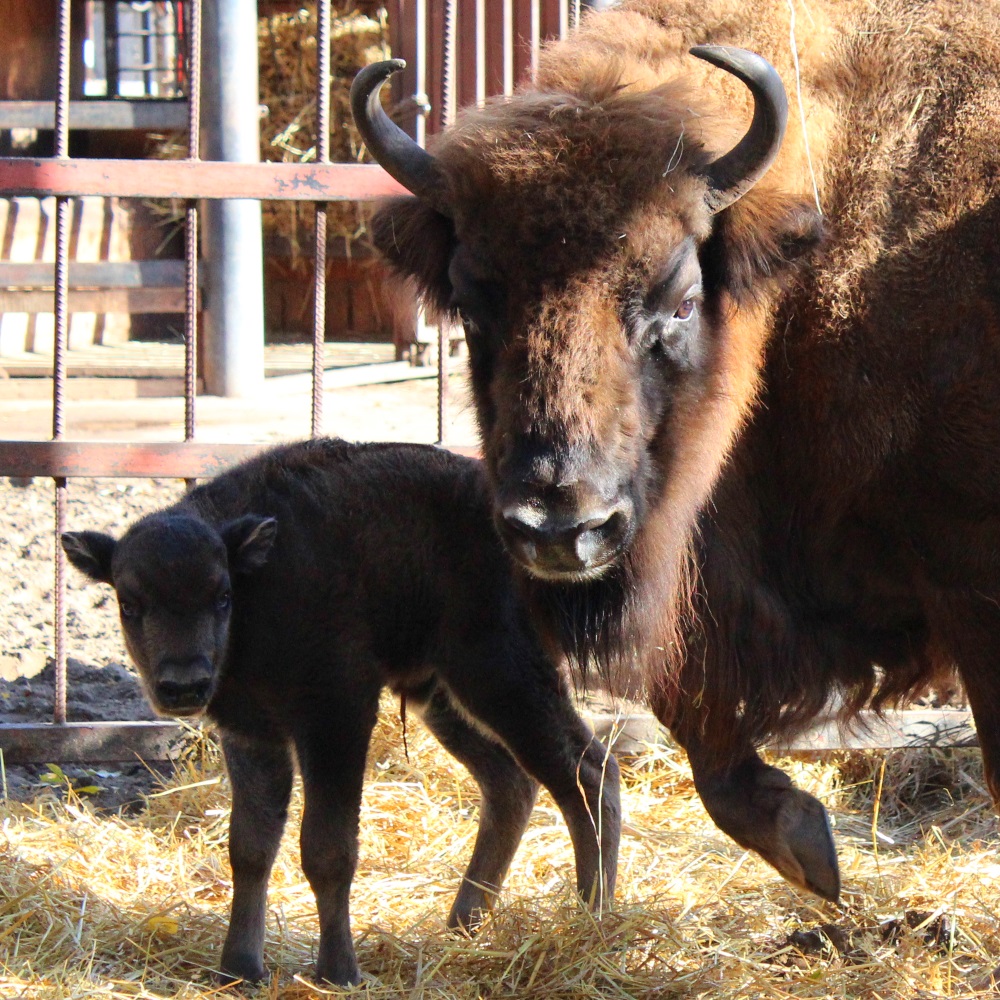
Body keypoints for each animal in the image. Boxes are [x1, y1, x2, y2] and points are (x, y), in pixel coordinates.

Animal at [62, 442, 616, 988]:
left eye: (222, 595)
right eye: (129, 602)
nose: (183, 685)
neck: (259, 583)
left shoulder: (336, 717)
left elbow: (327, 849)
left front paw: (337, 971)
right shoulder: (252, 733)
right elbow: (250, 847)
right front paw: (237, 969)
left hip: (504, 679)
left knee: (588, 774)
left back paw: (593, 918)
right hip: (442, 696)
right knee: (512, 784)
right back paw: (464, 924)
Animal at [356, 0, 1000, 904]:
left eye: (680, 300)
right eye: (473, 304)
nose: (561, 528)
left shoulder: (973, 589)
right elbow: (699, 726)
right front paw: (807, 845)